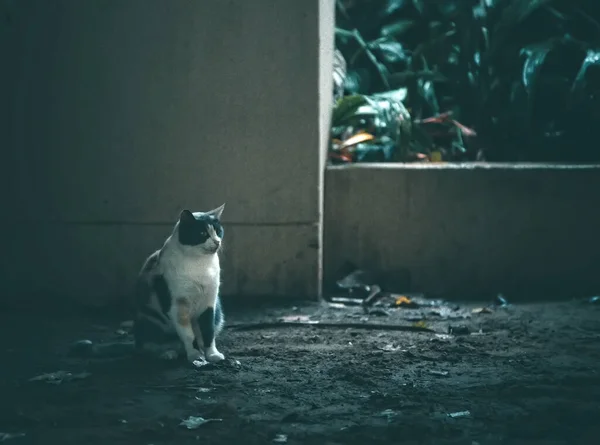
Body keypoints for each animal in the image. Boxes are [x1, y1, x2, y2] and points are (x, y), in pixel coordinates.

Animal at [134, 205, 227, 364]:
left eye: (218, 231)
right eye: (202, 233)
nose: (217, 242)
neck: (199, 264)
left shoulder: (209, 303)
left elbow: (208, 331)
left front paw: (213, 354)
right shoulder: (178, 307)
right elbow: (189, 335)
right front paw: (196, 356)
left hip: (219, 314)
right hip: (148, 319)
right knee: (150, 345)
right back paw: (167, 353)